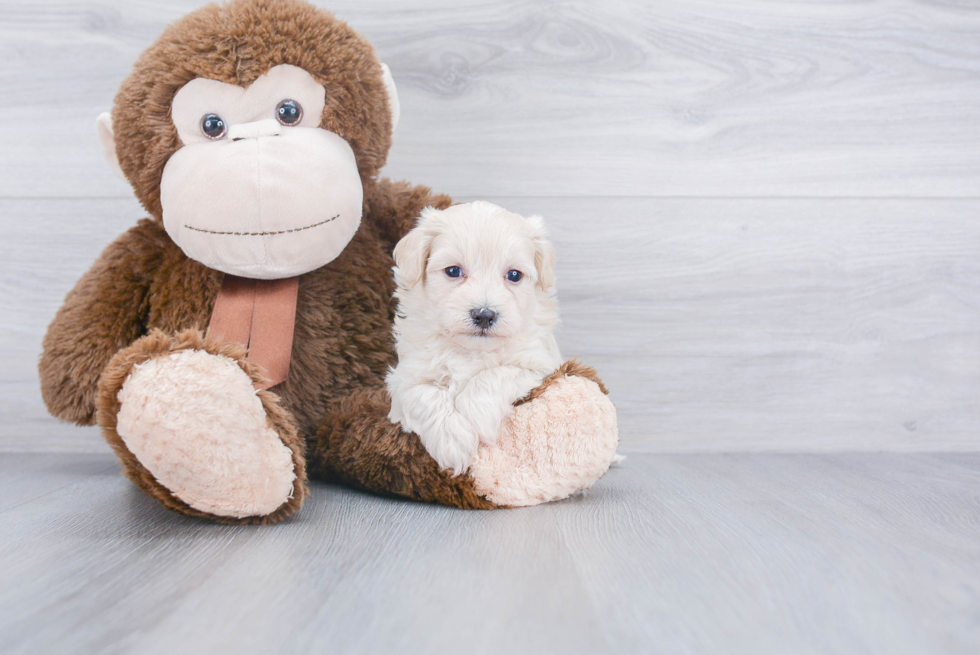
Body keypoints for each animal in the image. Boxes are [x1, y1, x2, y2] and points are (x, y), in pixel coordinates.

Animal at [386, 202, 564, 474]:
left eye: (514, 275)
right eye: (453, 271)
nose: (484, 315)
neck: (471, 350)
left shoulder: (540, 366)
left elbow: (493, 376)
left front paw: (477, 417)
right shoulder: (404, 379)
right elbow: (424, 394)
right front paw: (452, 441)